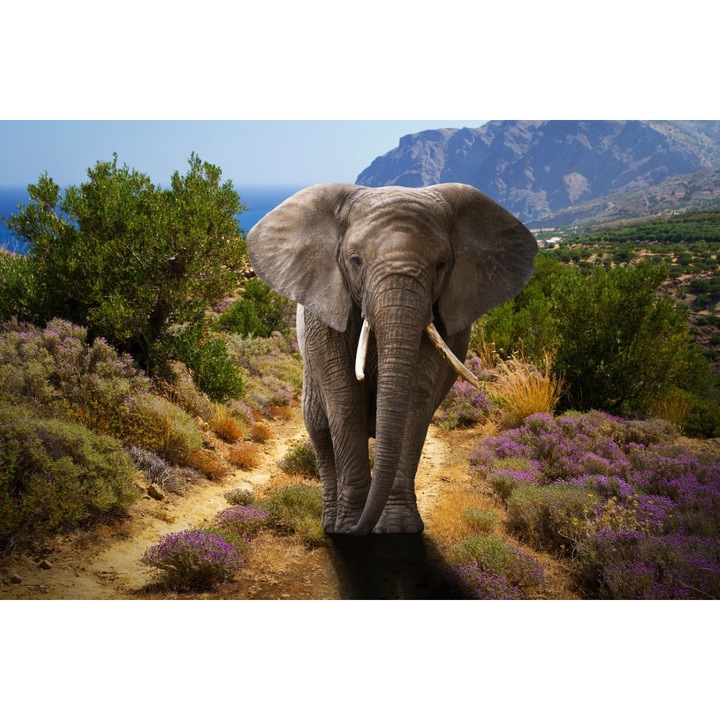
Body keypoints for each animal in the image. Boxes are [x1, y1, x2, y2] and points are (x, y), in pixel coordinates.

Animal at [246, 183, 536, 535]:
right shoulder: (324, 314)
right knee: (319, 428)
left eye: (441, 264)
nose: (359, 530)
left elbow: (415, 400)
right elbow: (345, 401)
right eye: (355, 260)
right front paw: (349, 527)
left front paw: (398, 528)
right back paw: (331, 525)